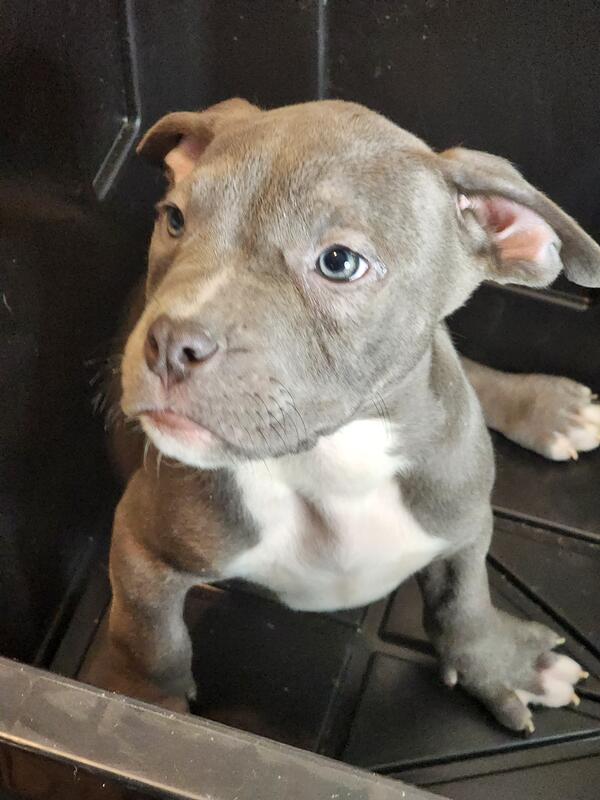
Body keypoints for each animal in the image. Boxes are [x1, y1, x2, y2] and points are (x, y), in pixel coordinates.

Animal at [88, 98, 600, 734]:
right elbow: (150, 638)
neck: (332, 461)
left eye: (339, 262)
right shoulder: (141, 542)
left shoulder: (465, 520)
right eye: (175, 219)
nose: (168, 345)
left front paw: (501, 665)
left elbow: (465, 603)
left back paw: (549, 408)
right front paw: (141, 707)